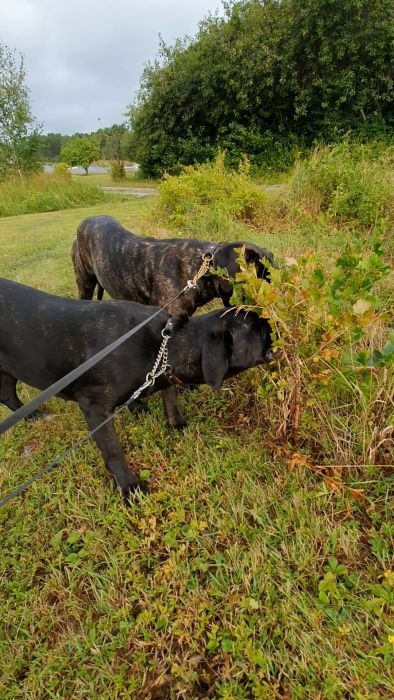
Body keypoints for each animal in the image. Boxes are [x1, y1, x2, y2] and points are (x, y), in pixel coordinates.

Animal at [0, 276, 272, 500]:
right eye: (255, 327)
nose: (270, 320)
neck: (166, 344)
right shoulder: (94, 408)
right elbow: (113, 451)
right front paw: (130, 487)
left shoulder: (163, 371)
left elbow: (170, 400)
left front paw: (174, 423)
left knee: (7, 394)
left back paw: (34, 417)